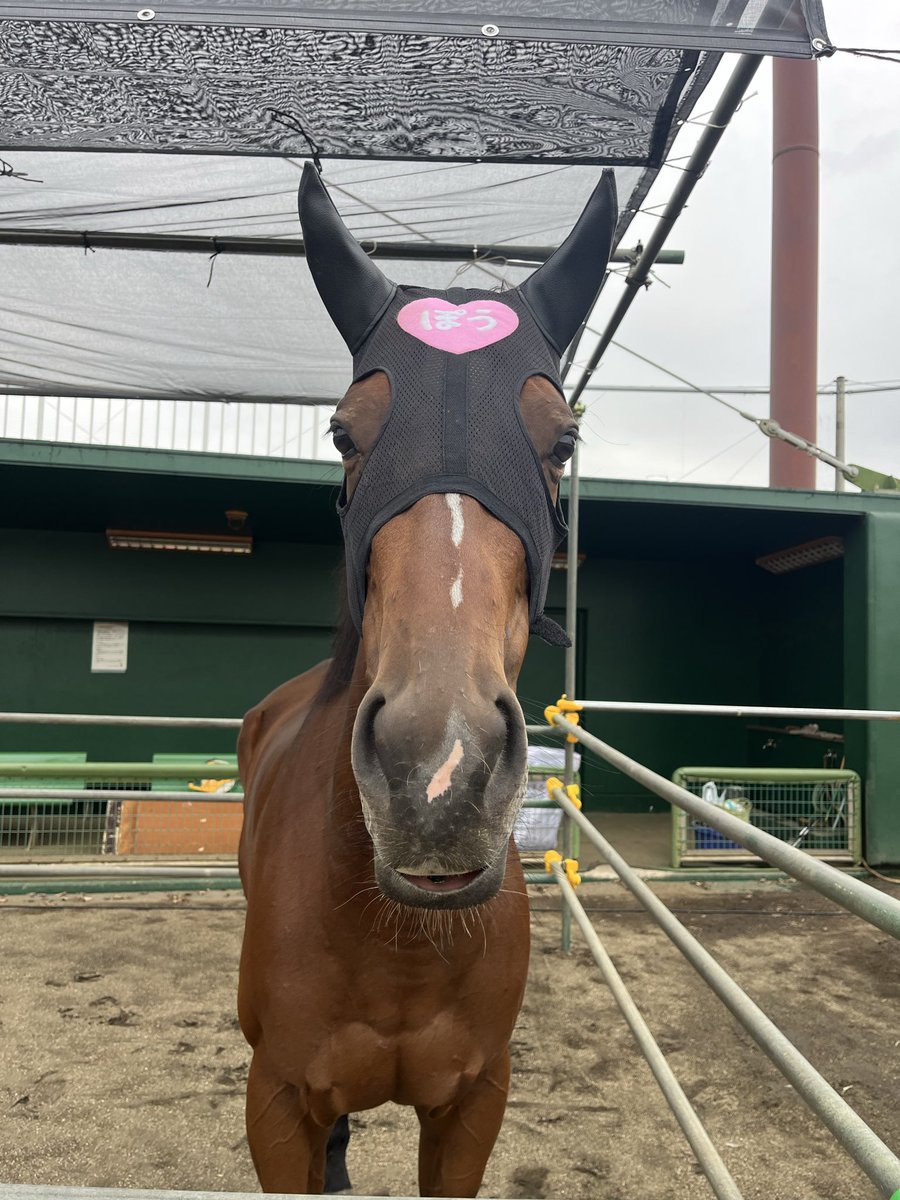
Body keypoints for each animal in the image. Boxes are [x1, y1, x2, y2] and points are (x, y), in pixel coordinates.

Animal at [237, 162, 616, 1197]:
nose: (438, 776)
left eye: (563, 441)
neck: (398, 939)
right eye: (342, 433)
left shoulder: (474, 1104)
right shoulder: (275, 1107)